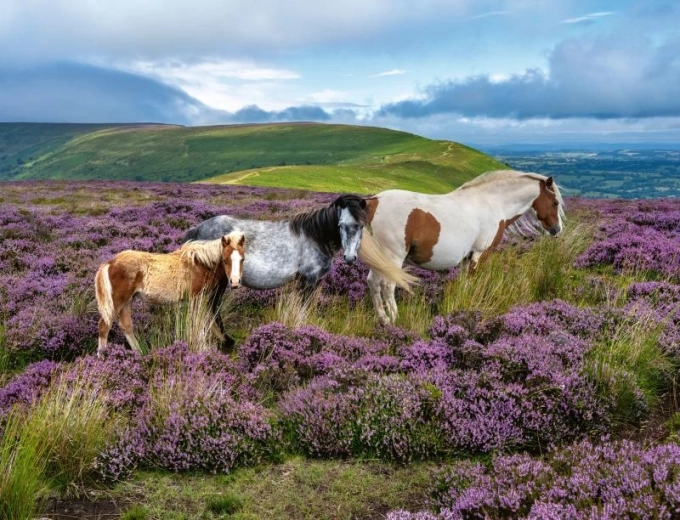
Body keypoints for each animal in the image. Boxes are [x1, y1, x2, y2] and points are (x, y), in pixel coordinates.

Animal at [94, 231, 245, 354]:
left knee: (126, 326)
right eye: (225, 260)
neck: (200, 264)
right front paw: (202, 350)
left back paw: (139, 354)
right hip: (117, 301)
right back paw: (102, 356)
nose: (235, 282)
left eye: (242, 259)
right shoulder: (196, 297)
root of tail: (110, 262)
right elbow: (199, 323)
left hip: (127, 301)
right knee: (104, 326)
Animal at [182, 193, 416, 296]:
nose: (350, 258)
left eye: (360, 226)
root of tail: (198, 229)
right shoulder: (309, 279)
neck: (316, 237)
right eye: (340, 225)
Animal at [364, 170, 565, 325]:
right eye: (555, 202)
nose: (557, 230)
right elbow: (473, 281)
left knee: (373, 283)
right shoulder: (480, 253)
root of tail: (374, 201)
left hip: (380, 260)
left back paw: (383, 320)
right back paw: (394, 319)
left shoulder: (467, 257)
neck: (492, 203)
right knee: (387, 286)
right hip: (393, 257)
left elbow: (464, 283)